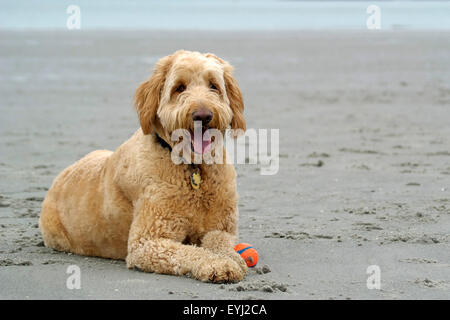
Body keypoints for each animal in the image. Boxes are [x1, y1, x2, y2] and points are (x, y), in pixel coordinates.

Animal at [39, 50, 248, 282]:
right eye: (179, 87)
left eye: (213, 85)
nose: (202, 115)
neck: (193, 168)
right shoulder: (148, 243)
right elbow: (191, 252)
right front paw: (218, 264)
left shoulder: (221, 229)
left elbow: (219, 241)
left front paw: (233, 257)